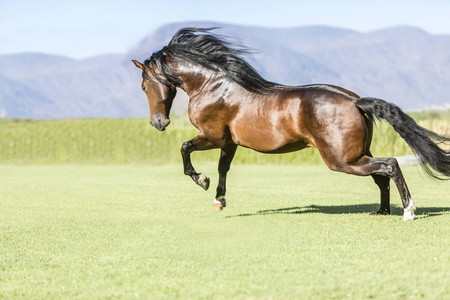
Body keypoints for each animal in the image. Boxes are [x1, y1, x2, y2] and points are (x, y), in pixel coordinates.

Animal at [132, 27, 448, 220]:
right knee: (381, 174)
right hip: (357, 154)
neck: (213, 85)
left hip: (341, 159)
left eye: (144, 85)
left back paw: (408, 210)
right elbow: (224, 168)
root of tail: (356, 101)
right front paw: (219, 201)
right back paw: (381, 212)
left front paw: (202, 180)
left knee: (390, 165)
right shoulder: (230, 142)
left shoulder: (212, 136)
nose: (158, 123)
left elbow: (185, 149)